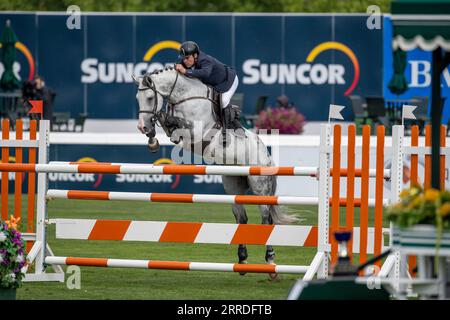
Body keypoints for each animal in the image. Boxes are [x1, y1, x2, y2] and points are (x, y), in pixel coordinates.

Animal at [132, 66, 298, 274]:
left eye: (149, 98)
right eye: (137, 98)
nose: (142, 126)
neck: (184, 96)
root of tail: (268, 158)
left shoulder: (196, 131)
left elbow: (175, 123)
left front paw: (160, 129)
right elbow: (166, 123)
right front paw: (153, 139)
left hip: (260, 187)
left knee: (266, 219)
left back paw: (270, 259)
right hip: (233, 185)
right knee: (241, 218)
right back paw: (242, 260)